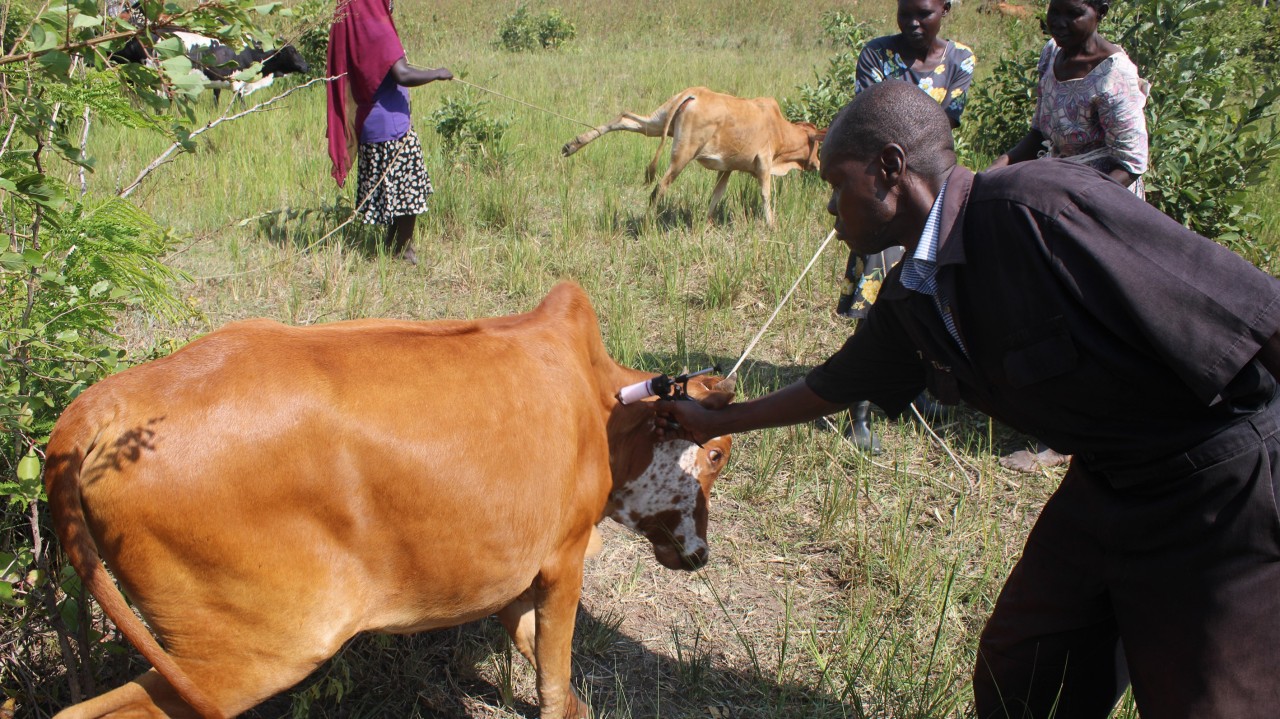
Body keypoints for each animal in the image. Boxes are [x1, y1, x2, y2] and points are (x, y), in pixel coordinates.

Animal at [44, 282, 735, 719]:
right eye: (719, 453)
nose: (701, 556)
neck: (598, 401)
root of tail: (110, 401)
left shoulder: (515, 571)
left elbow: (538, 656)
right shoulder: (564, 557)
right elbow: (552, 670)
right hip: (253, 655)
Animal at [562, 87, 826, 227]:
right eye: (816, 147)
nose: (818, 163)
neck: (780, 129)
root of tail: (694, 93)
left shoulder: (727, 168)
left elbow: (716, 195)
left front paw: (706, 223)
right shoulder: (764, 163)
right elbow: (765, 196)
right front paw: (771, 225)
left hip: (658, 124)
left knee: (624, 117)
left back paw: (573, 144)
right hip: (683, 154)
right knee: (659, 187)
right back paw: (647, 225)